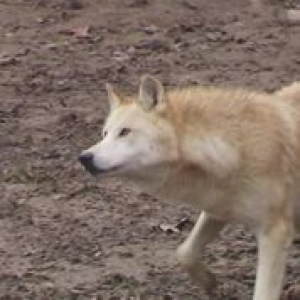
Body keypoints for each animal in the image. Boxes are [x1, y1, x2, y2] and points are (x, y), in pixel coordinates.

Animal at [79, 75, 300, 300]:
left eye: (124, 132)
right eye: (104, 134)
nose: (84, 158)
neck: (235, 147)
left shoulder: (274, 232)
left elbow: (263, 292)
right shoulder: (216, 211)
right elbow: (184, 253)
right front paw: (210, 283)